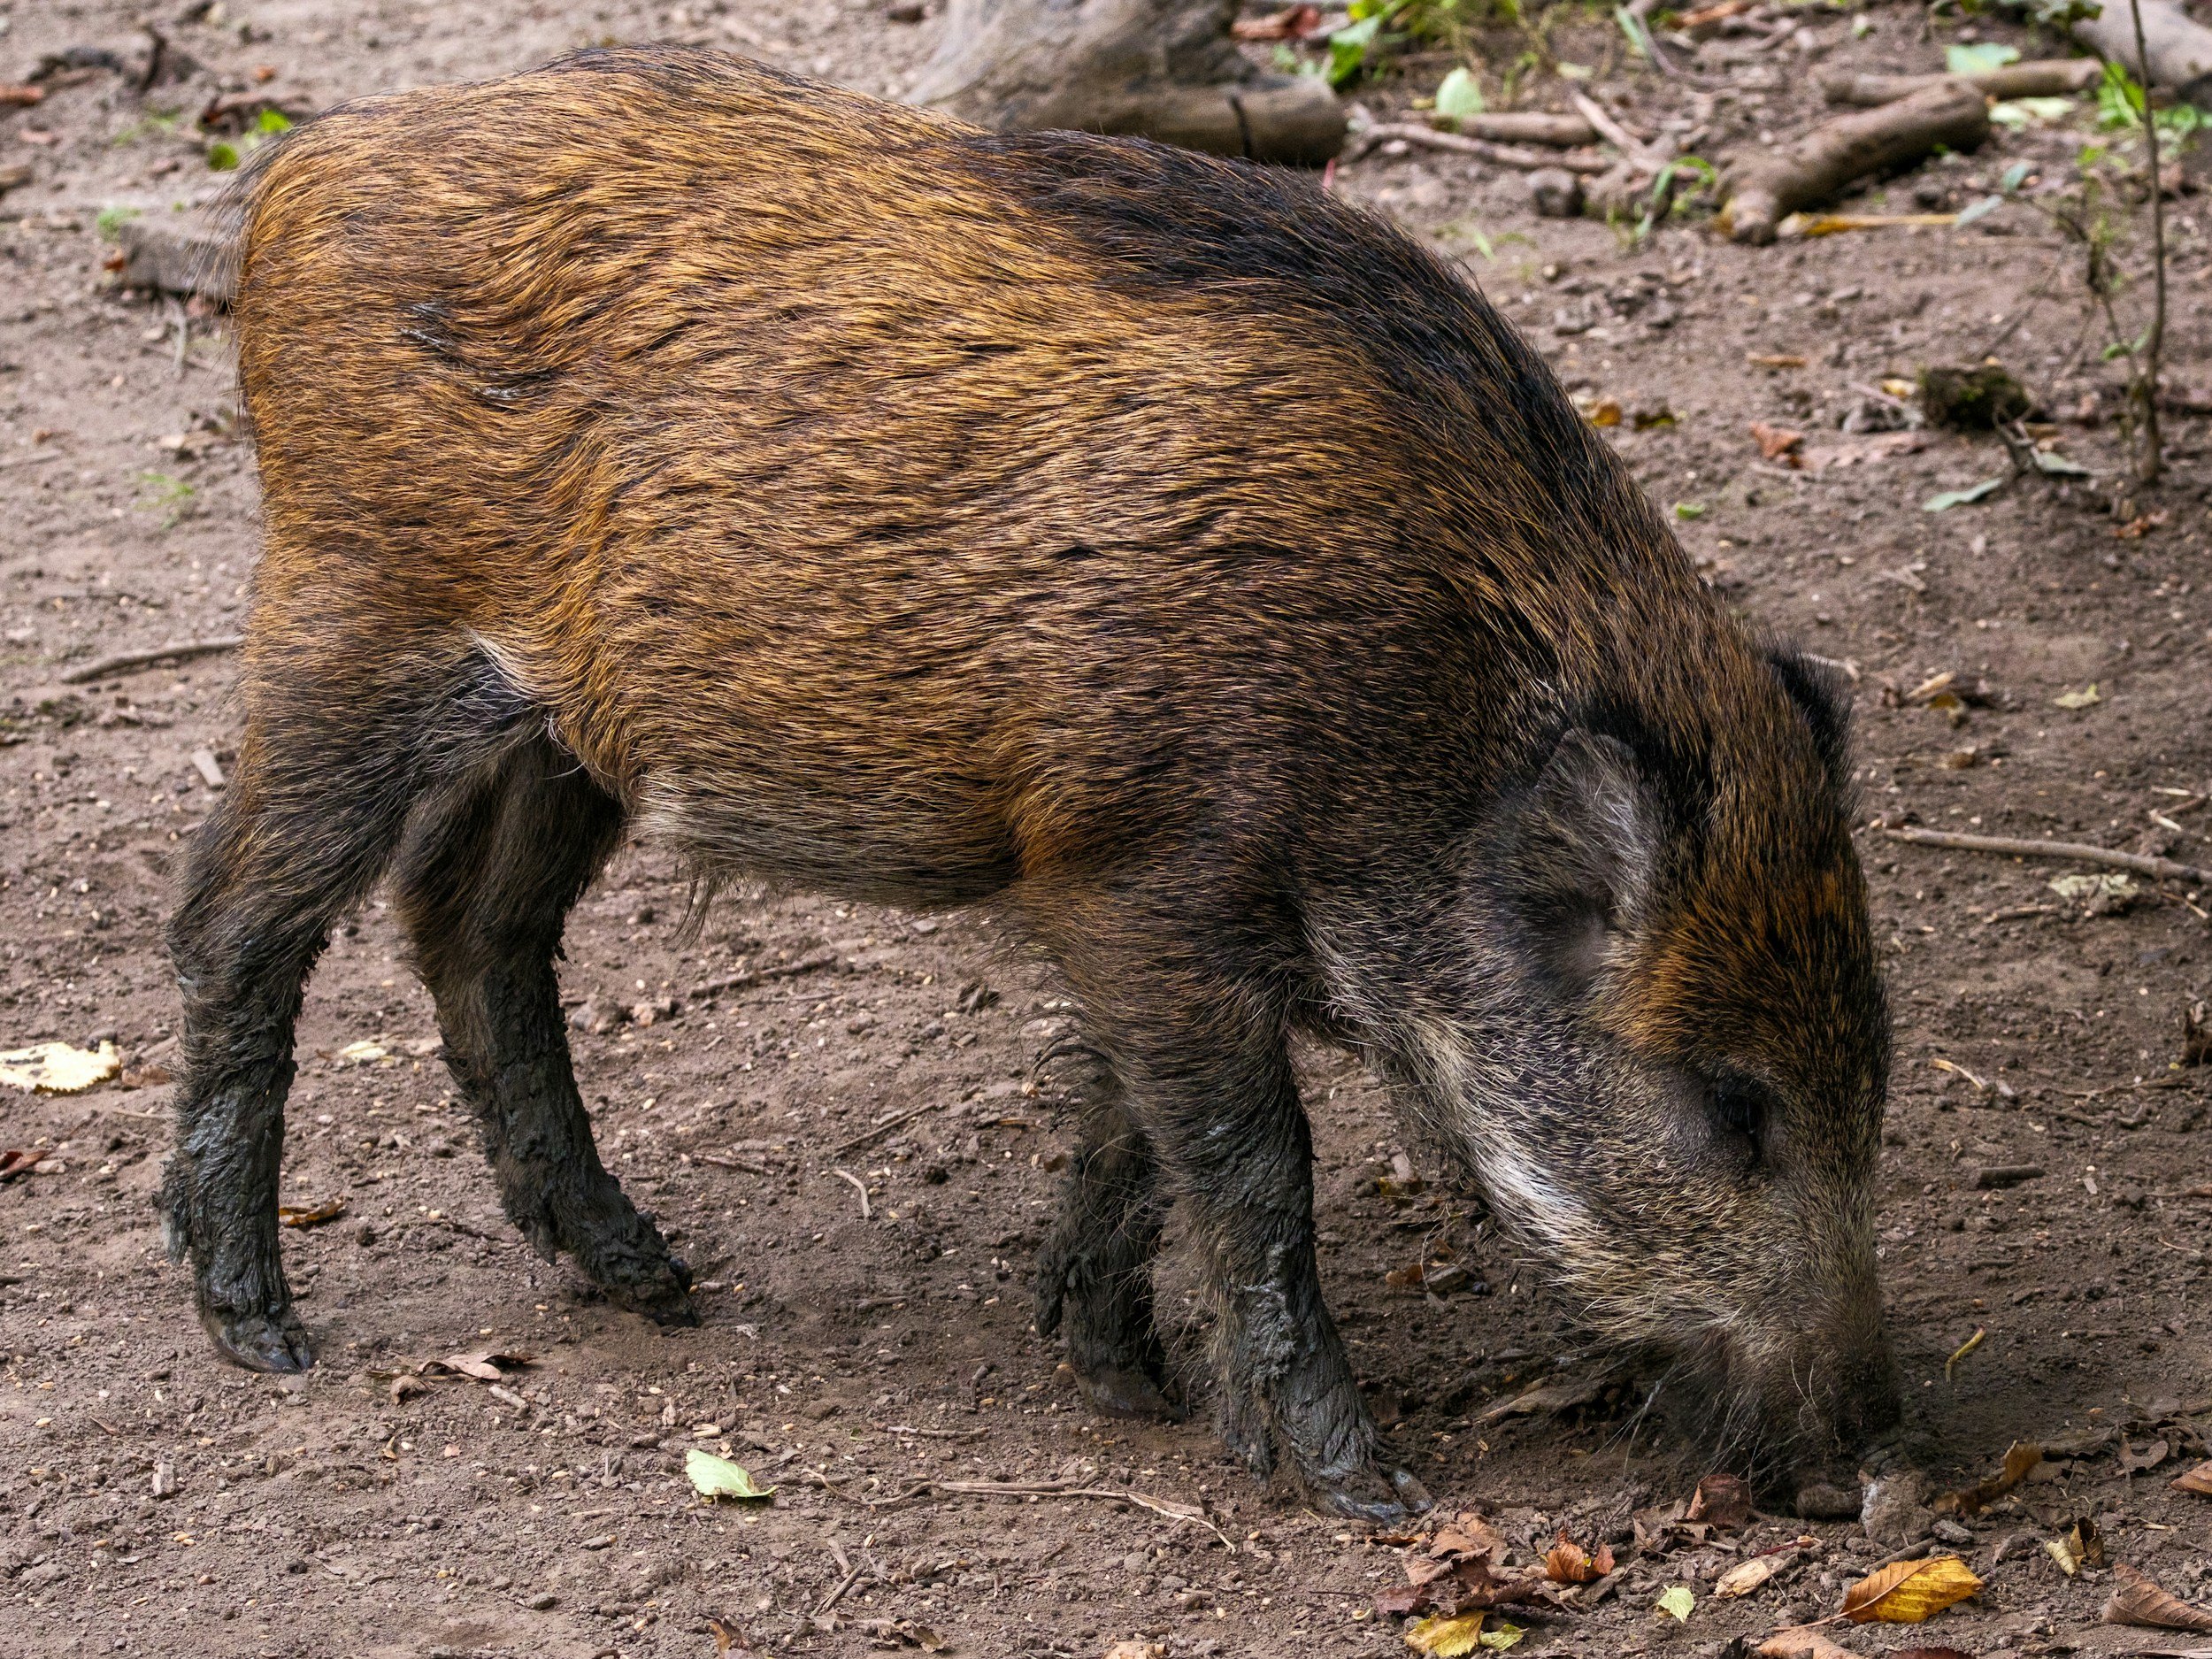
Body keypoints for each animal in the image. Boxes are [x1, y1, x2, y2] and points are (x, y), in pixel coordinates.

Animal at [161, 45, 1898, 1523]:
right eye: (1731, 1102)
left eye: (1870, 1073)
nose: (1879, 1455)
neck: (1420, 711)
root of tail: (309, 164)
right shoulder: (1140, 876)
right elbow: (1254, 1167)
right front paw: (1359, 1488)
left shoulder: (1142, 912)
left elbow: (1129, 1138)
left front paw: (1123, 1383)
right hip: (350, 618)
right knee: (237, 921)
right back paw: (261, 1328)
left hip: (566, 729)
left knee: (473, 929)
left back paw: (654, 1283)